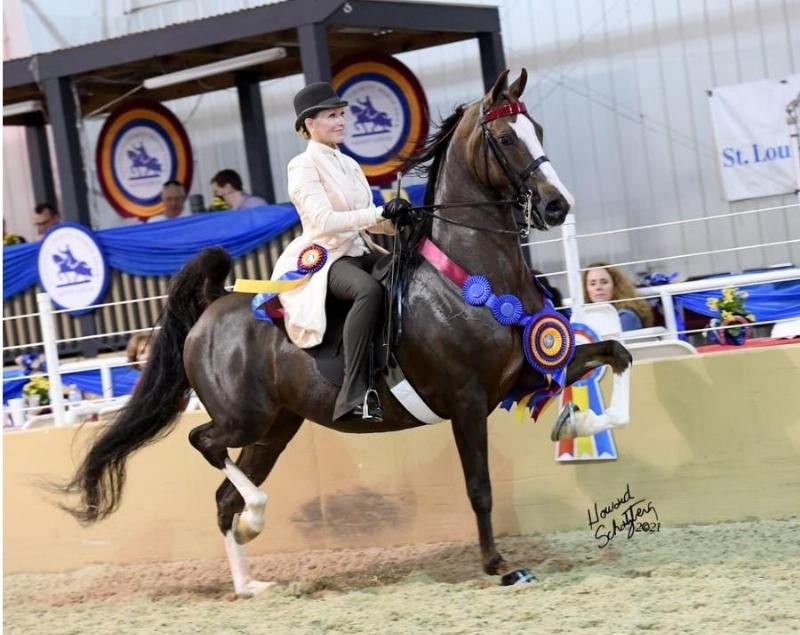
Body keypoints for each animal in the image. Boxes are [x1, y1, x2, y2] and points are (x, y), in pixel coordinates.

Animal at [61, 69, 632, 596]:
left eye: (537, 128)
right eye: (508, 138)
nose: (558, 205)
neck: (474, 274)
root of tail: (210, 310)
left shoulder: (524, 375)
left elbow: (616, 354)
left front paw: (579, 424)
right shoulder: (468, 401)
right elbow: (480, 487)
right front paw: (500, 566)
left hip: (277, 427)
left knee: (224, 497)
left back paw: (249, 579)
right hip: (245, 419)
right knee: (203, 443)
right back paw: (256, 520)